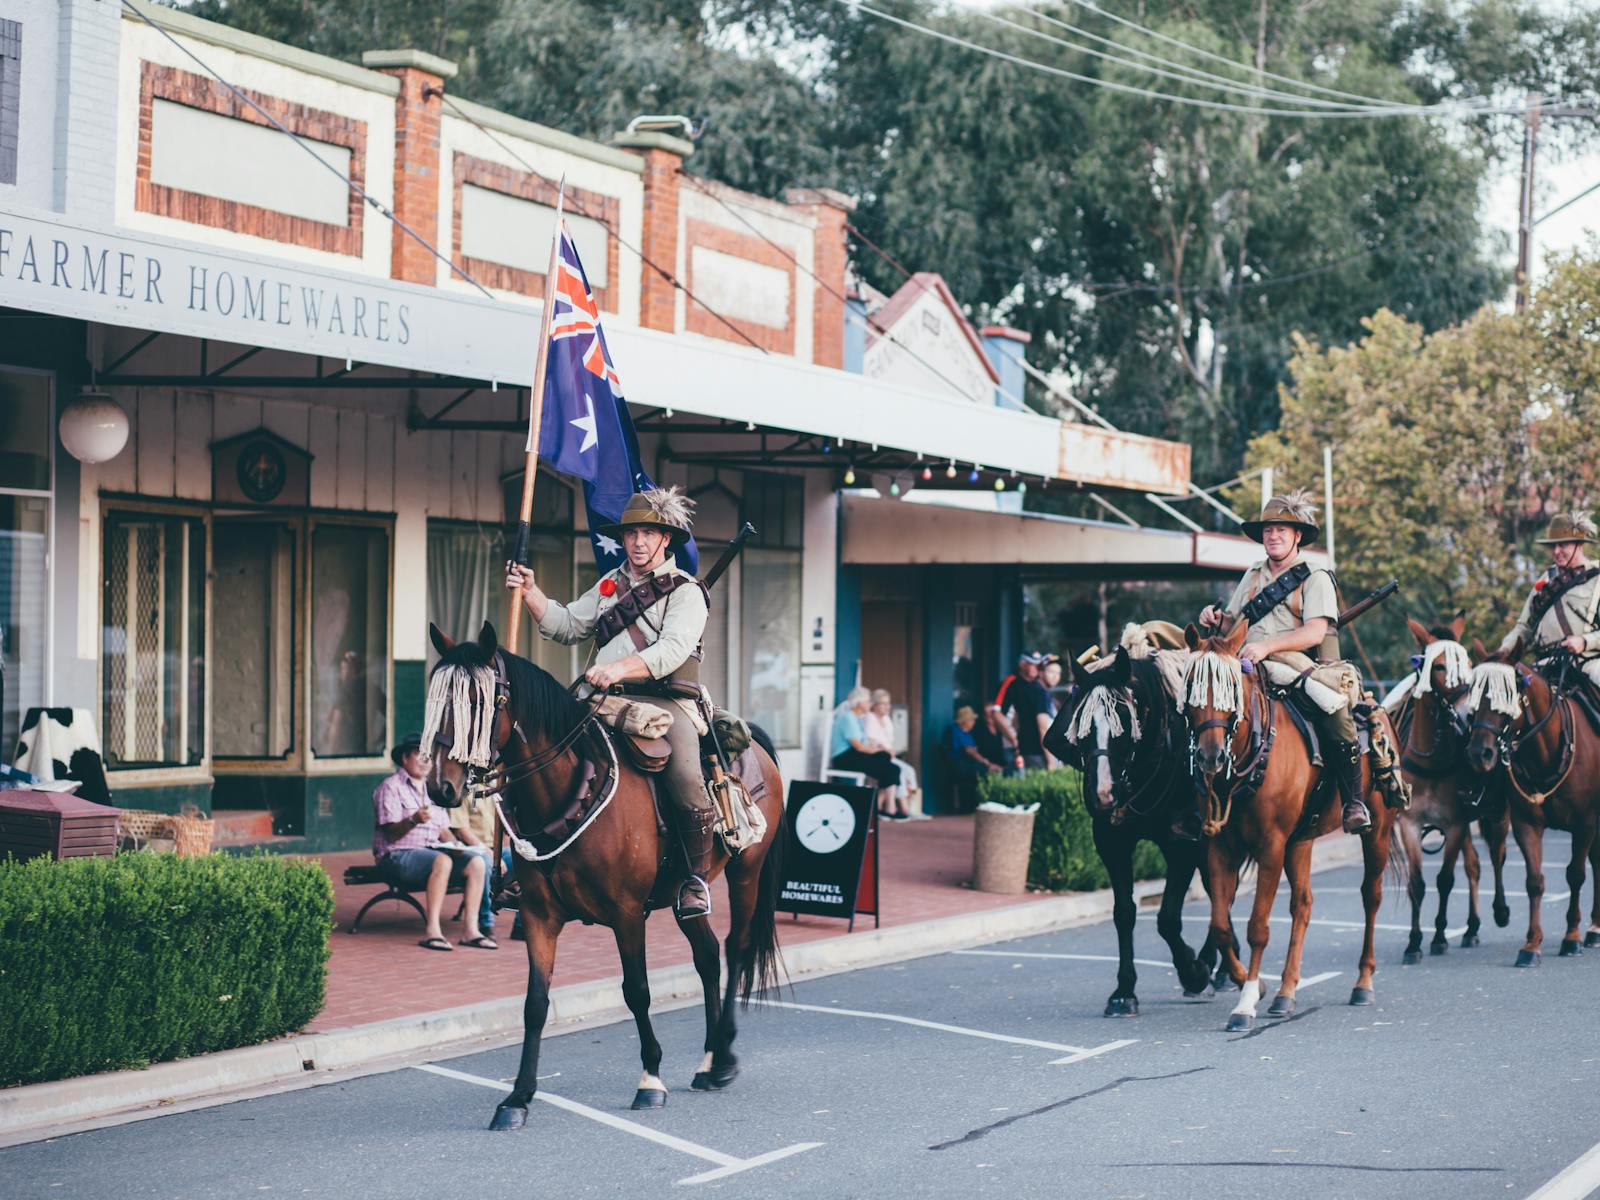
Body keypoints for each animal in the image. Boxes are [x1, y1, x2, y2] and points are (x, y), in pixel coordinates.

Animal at [425, 624, 787, 1132]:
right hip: (686, 894)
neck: (568, 788)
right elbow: (535, 1004)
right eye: (435, 698)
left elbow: (637, 991)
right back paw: (708, 1059)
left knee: (735, 948)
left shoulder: (627, 913)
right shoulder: (539, 916)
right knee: (707, 955)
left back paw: (723, 1059)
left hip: (745, 872)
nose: (441, 787)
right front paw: (517, 1097)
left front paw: (650, 1080)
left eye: (479, 701)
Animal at [1177, 620, 1401, 1036]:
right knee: (1303, 905)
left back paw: (1363, 982)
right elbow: (1220, 926)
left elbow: (1257, 927)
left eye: (1232, 690)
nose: (1211, 758)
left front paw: (1246, 1001)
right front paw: (1255, 985)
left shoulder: (1270, 847)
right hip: (1302, 840)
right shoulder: (1220, 847)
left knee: (1371, 896)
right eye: (1190, 691)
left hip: (1376, 831)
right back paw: (1286, 992)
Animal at [1388, 624, 1510, 966]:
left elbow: (1444, 880)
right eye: (1439, 667)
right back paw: (1471, 928)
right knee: (1474, 866)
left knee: (1497, 856)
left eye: (1468, 664)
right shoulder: (1410, 825)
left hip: (1497, 814)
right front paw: (1414, 943)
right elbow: (1417, 884)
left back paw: (1499, 911)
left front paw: (1440, 937)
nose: (1469, 713)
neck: (1432, 760)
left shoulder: (1455, 824)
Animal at [1465, 640, 1600, 966]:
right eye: (1474, 693)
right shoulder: (1526, 822)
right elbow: (1534, 881)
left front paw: (1571, 937)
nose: (1479, 753)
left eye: (1506, 695)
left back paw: (1592, 929)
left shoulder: (1586, 822)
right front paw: (1531, 944)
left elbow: (1576, 874)